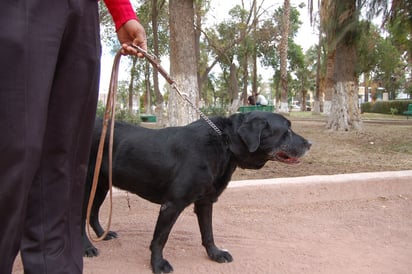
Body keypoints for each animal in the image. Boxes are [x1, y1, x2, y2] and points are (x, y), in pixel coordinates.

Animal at [82, 110, 310, 272]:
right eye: (287, 131)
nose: (310, 143)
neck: (225, 143)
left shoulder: (206, 202)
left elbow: (208, 233)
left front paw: (215, 254)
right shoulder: (172, 205)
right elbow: (160, 239)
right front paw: (157, 265)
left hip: (101, 185)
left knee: (92, 213)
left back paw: (102, 234)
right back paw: (87, 248)